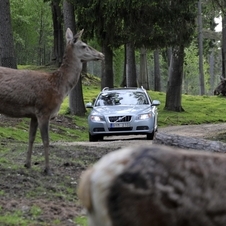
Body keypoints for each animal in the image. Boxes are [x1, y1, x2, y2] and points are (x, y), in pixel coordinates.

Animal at [0, 28, 104, 175]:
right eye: (84, 45)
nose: (101, 54)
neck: (59, 87)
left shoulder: (34, 114)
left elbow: (31, 138)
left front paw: (28, 164)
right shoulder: (44, 110)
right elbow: (46, 140)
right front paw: (47, 169)